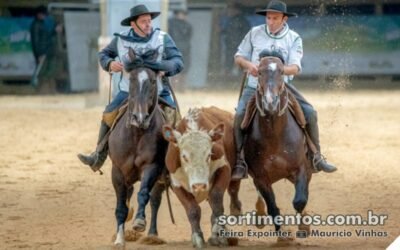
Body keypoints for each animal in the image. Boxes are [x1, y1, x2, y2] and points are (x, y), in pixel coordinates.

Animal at [108, 47, 168, 247]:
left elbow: (144, 194)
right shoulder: (117, 171)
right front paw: (119, 239)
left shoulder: (152, 167)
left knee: (155, 199)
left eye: (152, 81)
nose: (139, 117)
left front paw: (140, 222)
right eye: (132, 79)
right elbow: (121, 205)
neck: (136, 135)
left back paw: (152, 235)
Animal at [162, 106, 234, 248]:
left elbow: (216, 199)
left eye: (209, 155)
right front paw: (197, 238)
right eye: (184, 156)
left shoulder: (224, 168)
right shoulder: (176, 183)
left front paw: (218, 233)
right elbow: (192, 210)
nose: (199, 185)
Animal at [228, 50, 312, 238]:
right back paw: (259, 216)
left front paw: (303, 226)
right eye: (259, 72)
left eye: (281, 72)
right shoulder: (260, 177)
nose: (270, 102)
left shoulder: (301, 168)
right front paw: (283, 235)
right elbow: (272, 206)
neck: (275, 136)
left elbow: (300, 200)